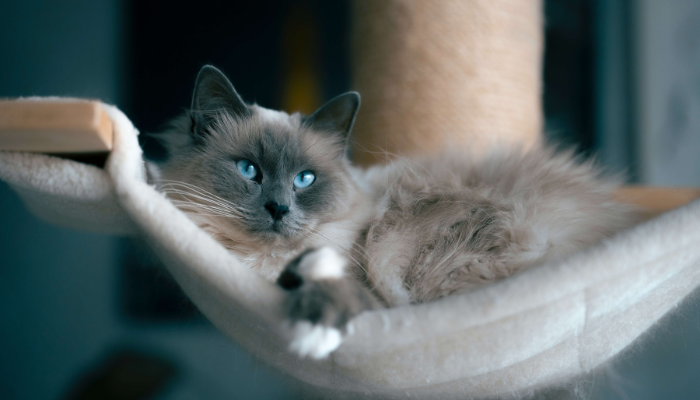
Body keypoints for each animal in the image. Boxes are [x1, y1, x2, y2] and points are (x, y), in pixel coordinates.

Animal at [153, 65, 640, 360]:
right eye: (248, 170)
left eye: (305, 179)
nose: (279, 208)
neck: (261, 266)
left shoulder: (362, 286)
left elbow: (325, 287)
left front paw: (312, 335)